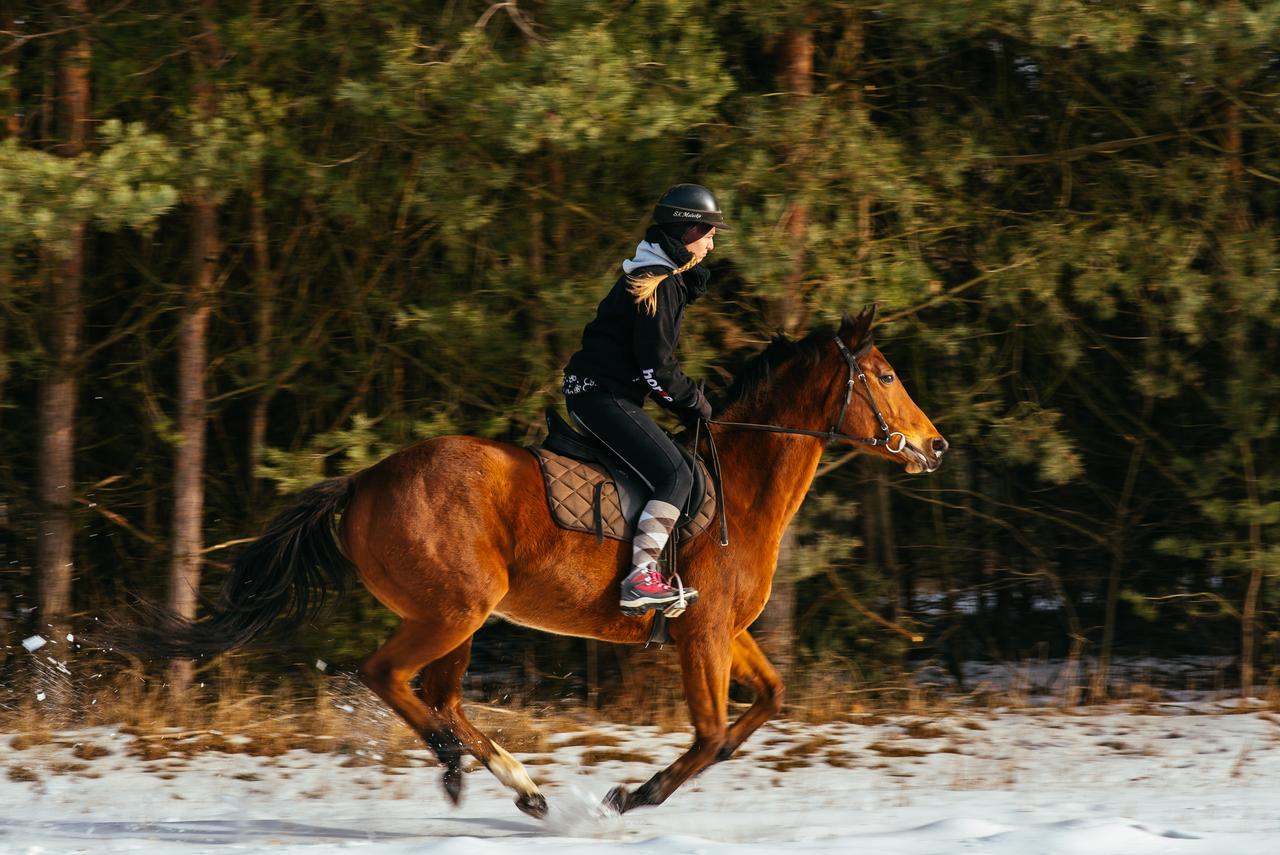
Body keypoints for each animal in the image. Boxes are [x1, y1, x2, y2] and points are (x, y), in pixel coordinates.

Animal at [127, 305, 952, 814]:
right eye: (883, 375)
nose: (936, 445)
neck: (741, 487)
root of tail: (365, 479)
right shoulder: (703, 635)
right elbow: (714, 733)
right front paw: (633, 795)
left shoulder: (725, 632)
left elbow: (767, 703)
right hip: (453, 608)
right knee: (388, 677)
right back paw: (470, 769)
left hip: (458, 617)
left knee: (443, 697)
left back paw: (517, 785)